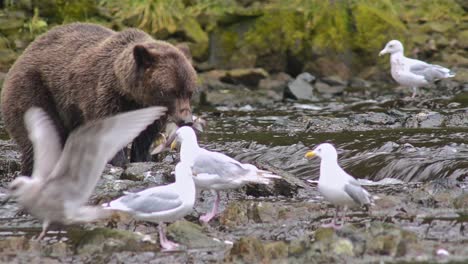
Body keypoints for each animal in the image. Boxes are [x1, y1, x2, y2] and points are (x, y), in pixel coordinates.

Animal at [0, 22, 195, 175]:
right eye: (170, 91)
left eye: (189, 91)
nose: (187, 120)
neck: (128, 91)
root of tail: (21, 56)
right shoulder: (103, 95)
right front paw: (119, 162)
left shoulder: (149, 108)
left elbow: (145, 136)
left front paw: (141, 159)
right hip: (34, 91)